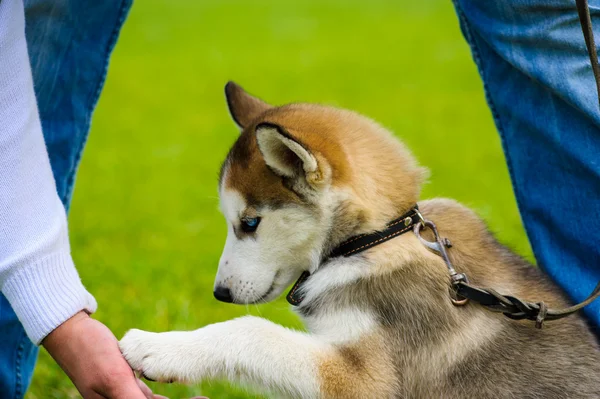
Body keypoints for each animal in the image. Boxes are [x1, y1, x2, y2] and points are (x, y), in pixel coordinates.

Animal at [119, 83, 600, 398]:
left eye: (250, 223)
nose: (220, 293)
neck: (374, 239)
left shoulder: (367, 380)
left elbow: (252, 332)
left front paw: (157, 346)